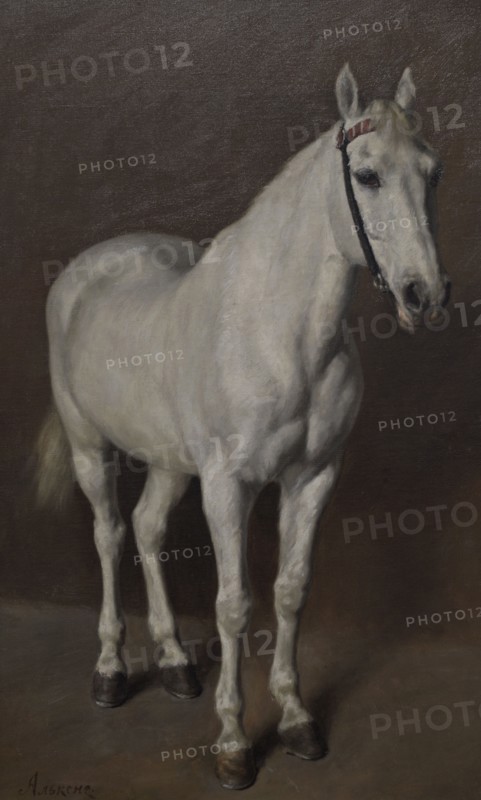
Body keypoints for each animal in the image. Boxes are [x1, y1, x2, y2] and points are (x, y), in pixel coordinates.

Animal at [36, 64, 450, 789]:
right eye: (367, 174)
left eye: (432, 173)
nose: (423, 295)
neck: (279, 334)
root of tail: (86, 269)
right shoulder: (229, 487)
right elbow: (233, 605)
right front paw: (232, 744)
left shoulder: (312, 478)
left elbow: (289, 592)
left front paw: (297, 721)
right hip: (92, 449)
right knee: (110, 536)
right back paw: (110, 673)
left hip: (169, 462)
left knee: (146, 528)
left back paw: (176, 664)